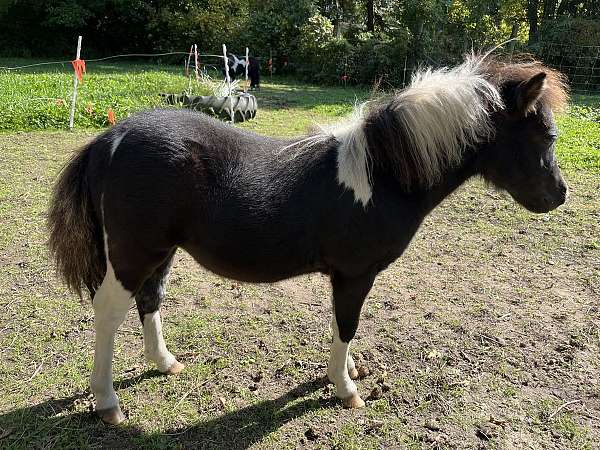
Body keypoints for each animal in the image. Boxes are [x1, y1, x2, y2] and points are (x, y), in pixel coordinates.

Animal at [48, 54, 568, 424]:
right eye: (545, 136)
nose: (559, 195)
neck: (383, 175)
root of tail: (110, 138)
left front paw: (351, 372)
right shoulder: (353, 275)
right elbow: (346, 325)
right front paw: (347, 389)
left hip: (162, 251)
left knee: (149, 300)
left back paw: (166, 363)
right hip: (133, 253)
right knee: (109, 312)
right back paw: (108, 403)